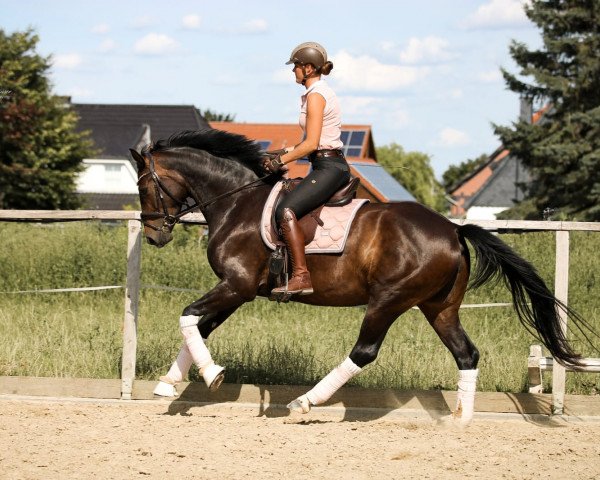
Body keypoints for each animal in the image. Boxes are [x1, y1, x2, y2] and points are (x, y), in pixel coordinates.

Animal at [130, 127, 592, 424]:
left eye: (143, 186)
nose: (153, 235)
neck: (237, 203)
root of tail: (453, 228)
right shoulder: (239, 290)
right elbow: (199, 326)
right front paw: (169, 384)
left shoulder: (237, 285)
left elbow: (189, 316)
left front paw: (211, 375)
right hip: (439, 307)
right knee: (467, 354)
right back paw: (462, 419)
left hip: (388, 299)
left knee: (365, 351)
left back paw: (305, 403)